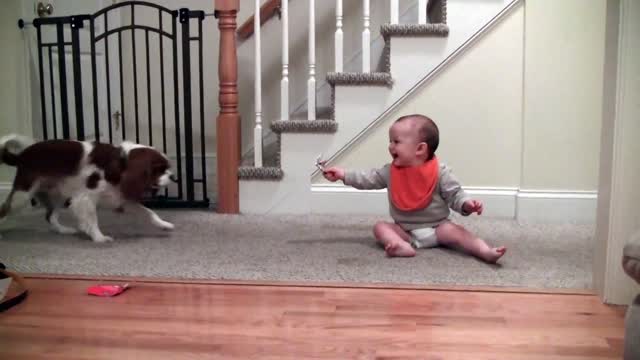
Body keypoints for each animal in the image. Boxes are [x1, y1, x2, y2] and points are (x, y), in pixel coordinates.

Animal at [0, 134, 176, 242]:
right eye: (159, 169)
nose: (174, 177)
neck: (120, 162)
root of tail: (21, 155)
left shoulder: (120, 196)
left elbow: (149, 213)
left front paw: (164, 224)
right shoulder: (85, 198)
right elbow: (91, 219)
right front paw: (99, 238)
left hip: (58, 195)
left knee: (50, 216)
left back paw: (63, 230)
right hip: (23, 195)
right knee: (5, 209)